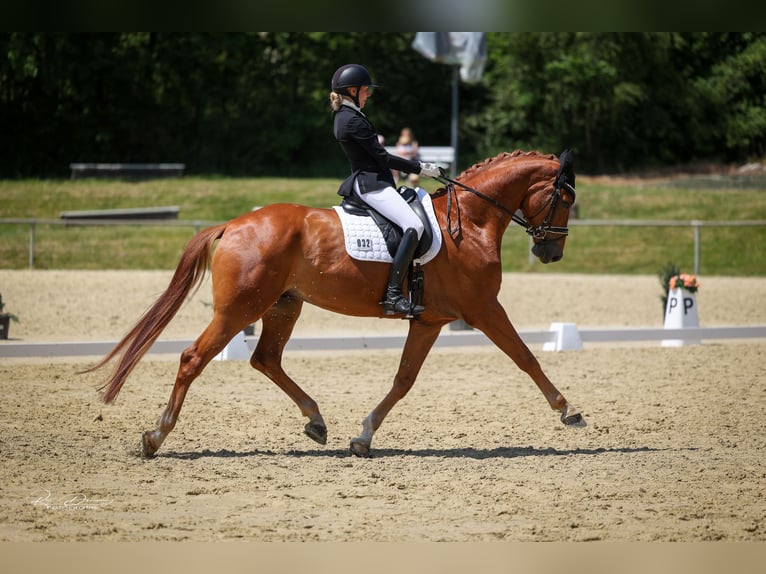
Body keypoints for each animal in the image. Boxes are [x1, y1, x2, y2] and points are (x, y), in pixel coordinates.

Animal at [86, 149, 585, 458]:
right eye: (564, 198)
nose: (550, 253)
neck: (473, 222)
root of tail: (232, 225)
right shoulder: (483, 309)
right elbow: (526, 357)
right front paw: (569, 411)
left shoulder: (430, 321)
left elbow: (404, 379)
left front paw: (363, 437)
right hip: (239, 310)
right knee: (195, 358)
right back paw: (155, 436)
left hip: (283, 305)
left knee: (266, 359)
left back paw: (316, 421)